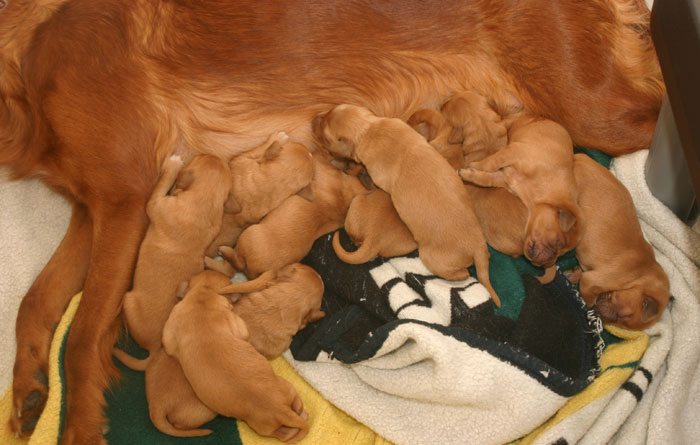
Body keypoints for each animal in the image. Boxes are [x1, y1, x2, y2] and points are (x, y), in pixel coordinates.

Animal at [120, 153, 230, 354]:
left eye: (200, 157)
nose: (208, 153)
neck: (203, 202)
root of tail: (156, 348)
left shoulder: (155, 203)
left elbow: (162, 183)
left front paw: (173, 165)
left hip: (128, 301)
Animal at [314, 104, 500, 306]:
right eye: (330, 110)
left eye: (326, 136)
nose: (315, 117)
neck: (370, 129)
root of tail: (478, 248)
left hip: (428, 255)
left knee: (461, 274)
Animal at [460, 113, 584, 270]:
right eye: (558, 242)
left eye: (562, 254)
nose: (547, 264)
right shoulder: (513, 152)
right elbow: (491, 162)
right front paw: (475, 165)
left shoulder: (504, 178)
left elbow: (486, 178)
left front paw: (469, 173)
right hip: (513, 125)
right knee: (502, 124)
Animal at [572, 153, 668, 330]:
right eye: (623, 316)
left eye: (622, 325)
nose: (602, 319)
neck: (638, 277)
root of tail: (577, 158)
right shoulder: (591, 282)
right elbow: (588, 300)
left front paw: (573, 274)